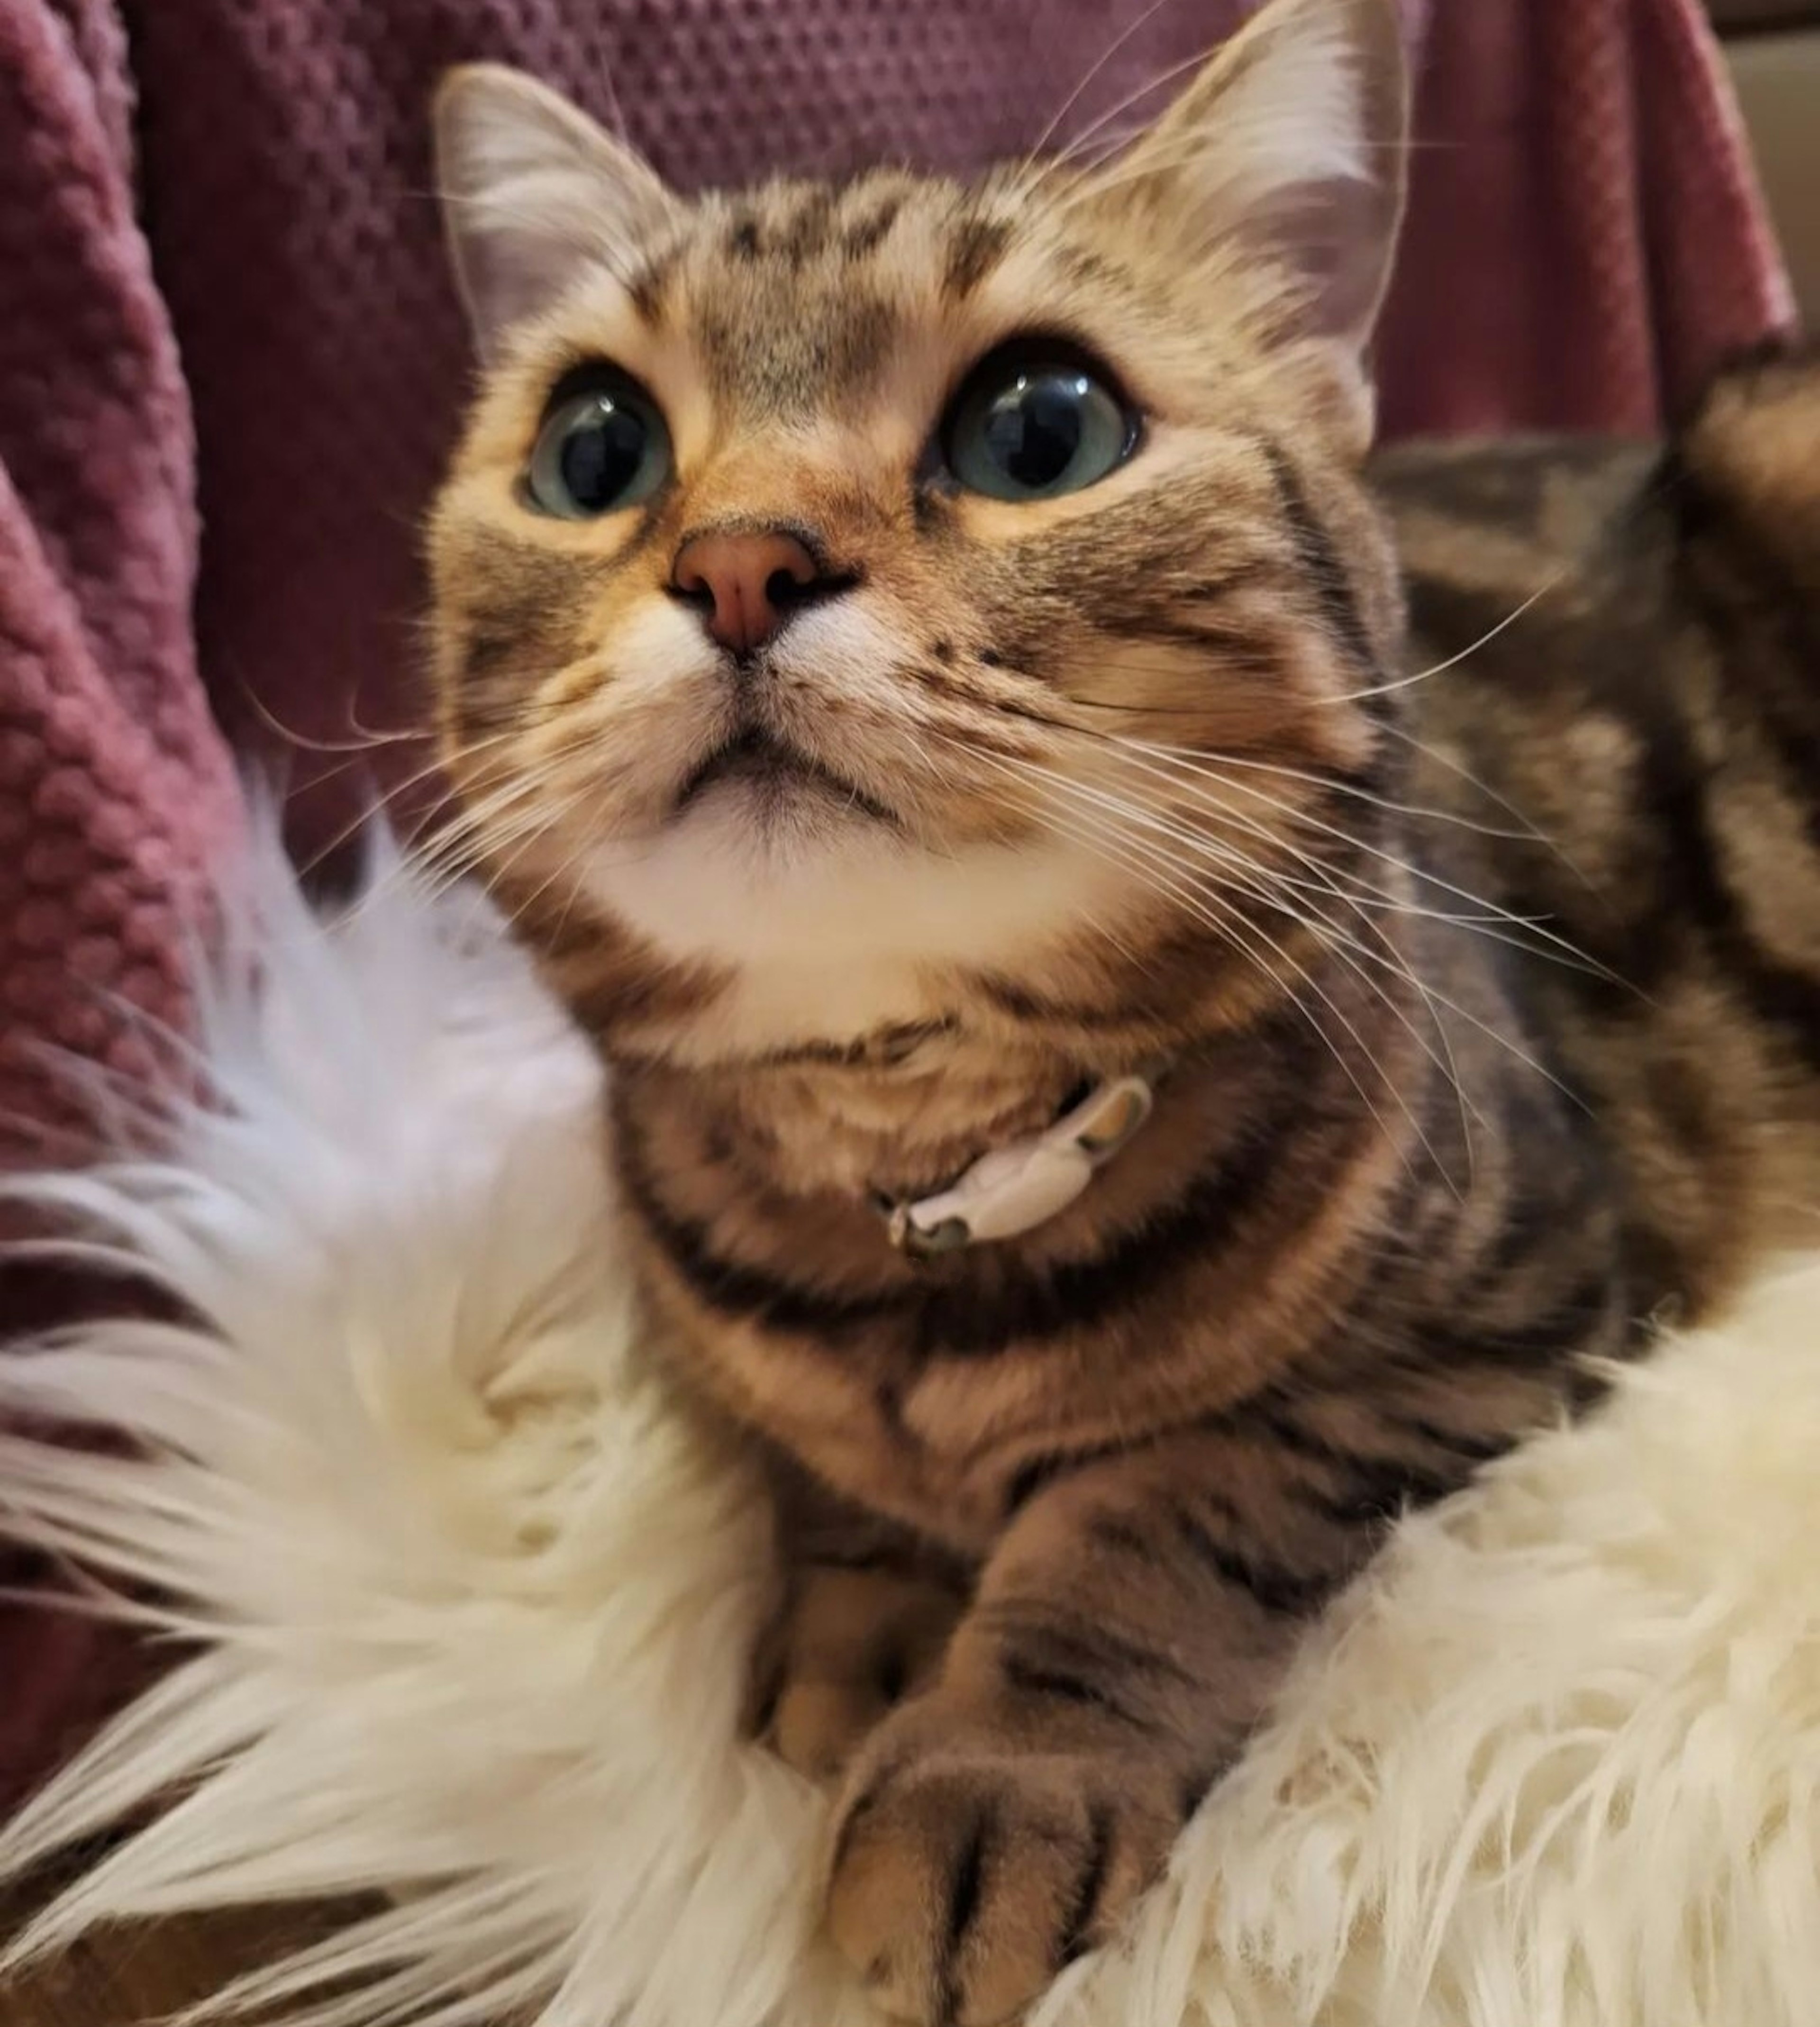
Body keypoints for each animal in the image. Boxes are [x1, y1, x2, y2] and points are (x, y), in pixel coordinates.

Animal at [421, 8, 1816, 2018]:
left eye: (1040, 424)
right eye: (596, 447)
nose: (741, 560)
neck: (910, 1155)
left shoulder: (1520, 1290)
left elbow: (1172, 1497)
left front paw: (996, 1763)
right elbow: (824, 1479)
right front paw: (863, 1625)